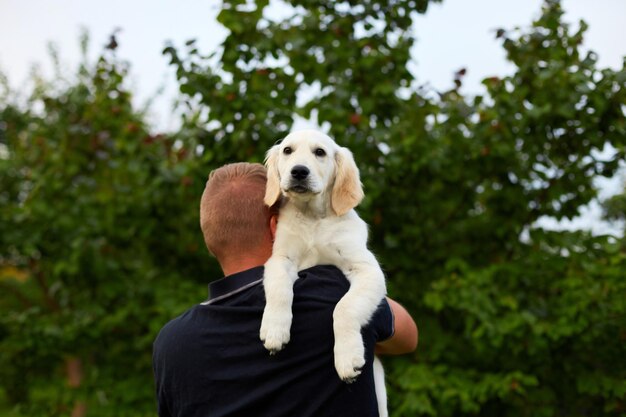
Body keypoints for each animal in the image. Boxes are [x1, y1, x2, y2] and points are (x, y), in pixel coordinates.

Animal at [258, 130, 386, 412]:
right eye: (288, 151)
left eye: (320, 153)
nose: (299, 171)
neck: (312, 218)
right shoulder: (280, 258)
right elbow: (279, 289)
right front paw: (275, 329)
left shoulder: (366, 268)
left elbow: (344, 308)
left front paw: (347, 357)